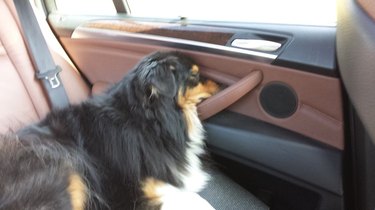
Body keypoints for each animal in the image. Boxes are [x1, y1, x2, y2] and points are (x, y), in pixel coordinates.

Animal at [0, 51, 220, 210]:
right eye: (194, 75)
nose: (219, 85)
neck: (145, 120)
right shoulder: (136, 191)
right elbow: (193, 199)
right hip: (64, 171)